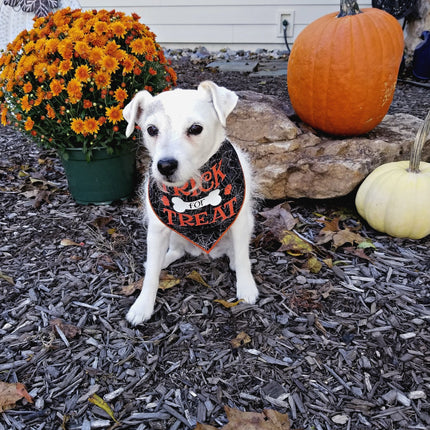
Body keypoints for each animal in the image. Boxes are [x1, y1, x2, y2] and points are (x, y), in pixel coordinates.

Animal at [124, 80, 258, 324]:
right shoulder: (157, 229)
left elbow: (243, 256)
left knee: (236, 250)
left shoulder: (239, 221)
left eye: (195, 129)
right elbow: (151, 276)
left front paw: (246, 287)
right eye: (151, 129)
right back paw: (163, 259)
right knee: (175, 251)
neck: (194, 188)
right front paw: (143, 304)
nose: (165, 166)